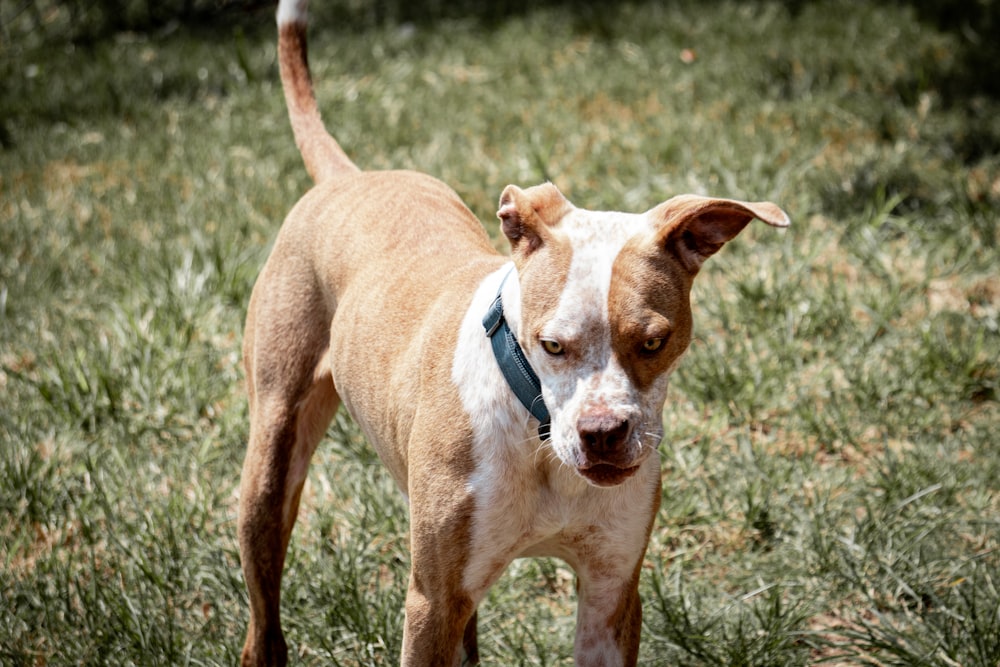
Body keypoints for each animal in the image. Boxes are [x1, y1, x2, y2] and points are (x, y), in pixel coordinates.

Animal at [240, 1, 788, 667]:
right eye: (552, 346)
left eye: (655, 342)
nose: (604, 434)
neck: (539, 432)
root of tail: (348, 177)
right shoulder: (431, 602)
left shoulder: (610, 592)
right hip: (273, 459)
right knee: (263, 605)